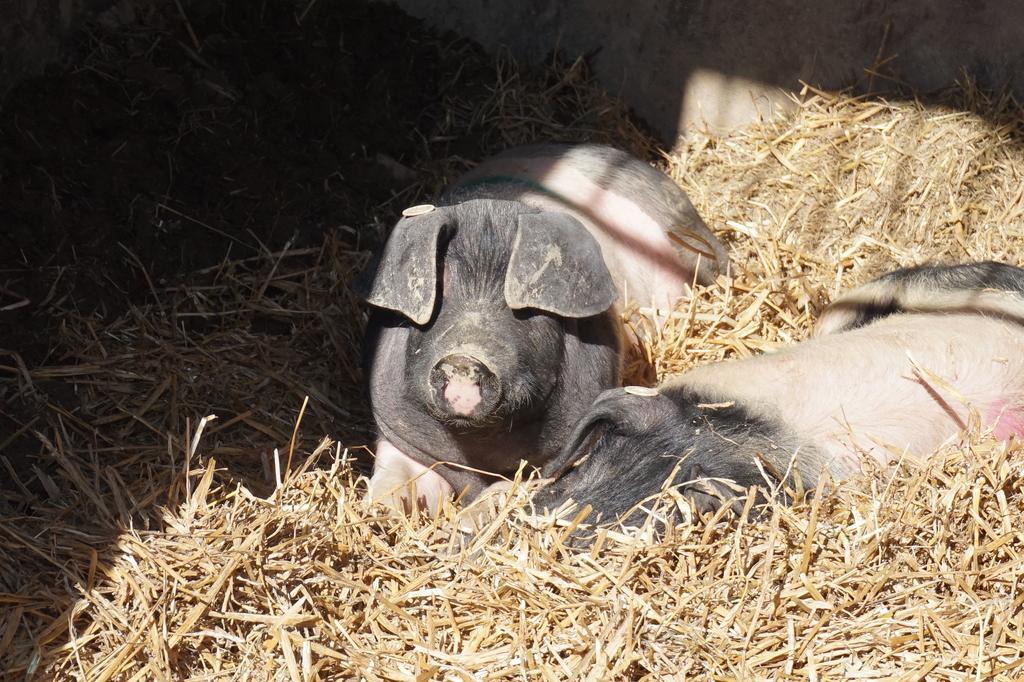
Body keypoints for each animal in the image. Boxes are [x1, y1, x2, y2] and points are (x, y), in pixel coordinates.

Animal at [360, 144, 729, 516]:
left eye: (528, 309)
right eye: (440, 291)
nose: (464, 359)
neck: (479, 448)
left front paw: (474, 515)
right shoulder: (398, 435)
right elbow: (395, 476)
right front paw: (379, 509)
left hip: (688, 239)